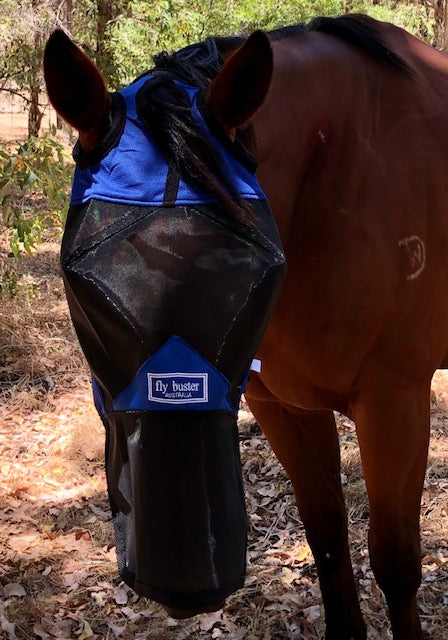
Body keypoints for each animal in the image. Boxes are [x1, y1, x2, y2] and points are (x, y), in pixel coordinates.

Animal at [43, 13, 448, 640]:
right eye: (80, 277)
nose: (184, 579)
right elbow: (327, 539)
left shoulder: (395, 402)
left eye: (261, 269)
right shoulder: (283, 406)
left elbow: (397, 564)